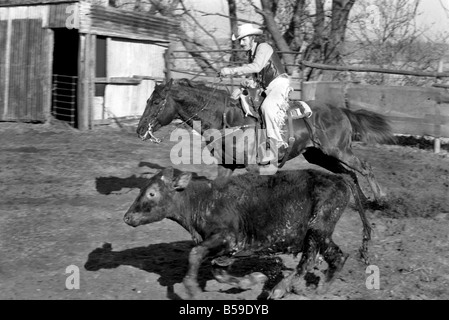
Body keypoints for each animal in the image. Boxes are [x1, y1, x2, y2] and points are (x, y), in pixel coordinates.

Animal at [136, 79, 392, 206]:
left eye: (156, 101)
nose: (140, 130)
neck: (227, 118)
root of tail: (341, 110)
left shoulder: (255, 167)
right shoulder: (227, 166)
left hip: (338, 150)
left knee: (365, 167)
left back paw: (381, 199)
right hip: (319, 155)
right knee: (349, 174)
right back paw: (361, 201)